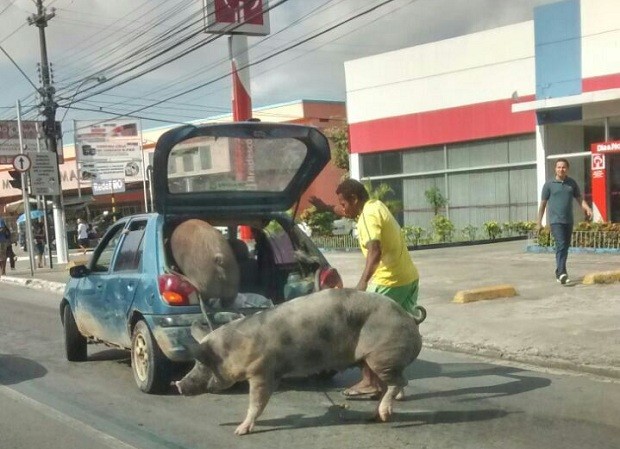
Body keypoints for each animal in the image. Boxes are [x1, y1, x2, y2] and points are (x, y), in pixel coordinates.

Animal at [177, 288, 424, 434]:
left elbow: (257, 402)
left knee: (399, 382)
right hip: (371, 360)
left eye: (201, 362)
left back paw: (384, 413)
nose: (178, 384)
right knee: (387, 385)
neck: (234, 348)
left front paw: (239, 431)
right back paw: (375, 416)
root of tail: (409, 317)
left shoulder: (262, 371)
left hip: (383, 355)